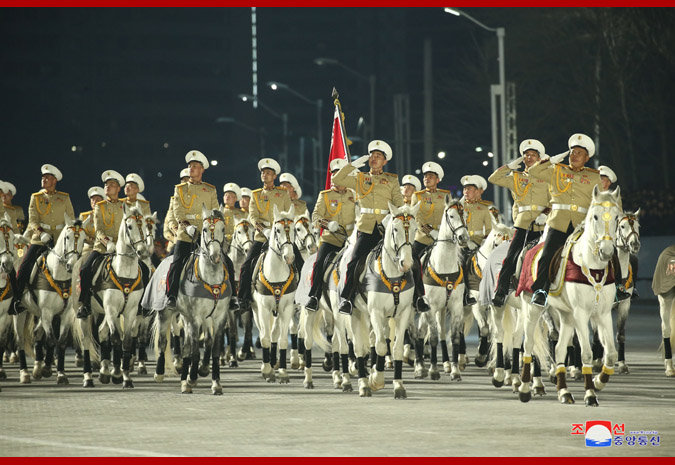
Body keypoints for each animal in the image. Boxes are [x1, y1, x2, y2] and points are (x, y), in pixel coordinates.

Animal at [14, 214, 88, 384]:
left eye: (83, 239)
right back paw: (24, 373)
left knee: (36, 334)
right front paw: (48, 369)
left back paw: (36, 368)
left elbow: (60, 342)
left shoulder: (65, 314)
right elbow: (50, 340)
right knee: (20, 340)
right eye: (67, 237)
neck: (59, 276)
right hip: (20, 312)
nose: (71, 265)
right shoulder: (47, 312)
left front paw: (60, 373)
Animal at [252, 205, 298, 382]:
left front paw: (283, 372)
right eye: (277, 230)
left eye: (294, 229)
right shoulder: (263, 308)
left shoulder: (286, 309)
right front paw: (266, 370)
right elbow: (264, 338)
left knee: (274, 334)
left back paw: (274, 363)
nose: (289, 257)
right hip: (256, 311)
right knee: (265, 333)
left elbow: (282, 340)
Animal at [412, 196, 470, 380]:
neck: (444, 265)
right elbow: (433, 337)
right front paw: (433, 370)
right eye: (451, 216)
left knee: (425, 332)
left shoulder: (456, 306)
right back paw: (419, 367)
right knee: (417, 334)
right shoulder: (430, 307)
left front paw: (455, 370)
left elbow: (454, 337)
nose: (463, 237)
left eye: (465, 214)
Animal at [516, 187, 624, 404]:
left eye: (617, 218)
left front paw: (598, 381)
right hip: (532, 307)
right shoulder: (581, 313)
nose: (607, 252)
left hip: (565, 314)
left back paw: (564, 391)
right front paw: (590, 393)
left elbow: (611, 353)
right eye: (595, 216)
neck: (593, 265)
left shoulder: (603, 314)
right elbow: (587, 354)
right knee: (529, 344)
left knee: (558, 348)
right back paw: (524, 388)